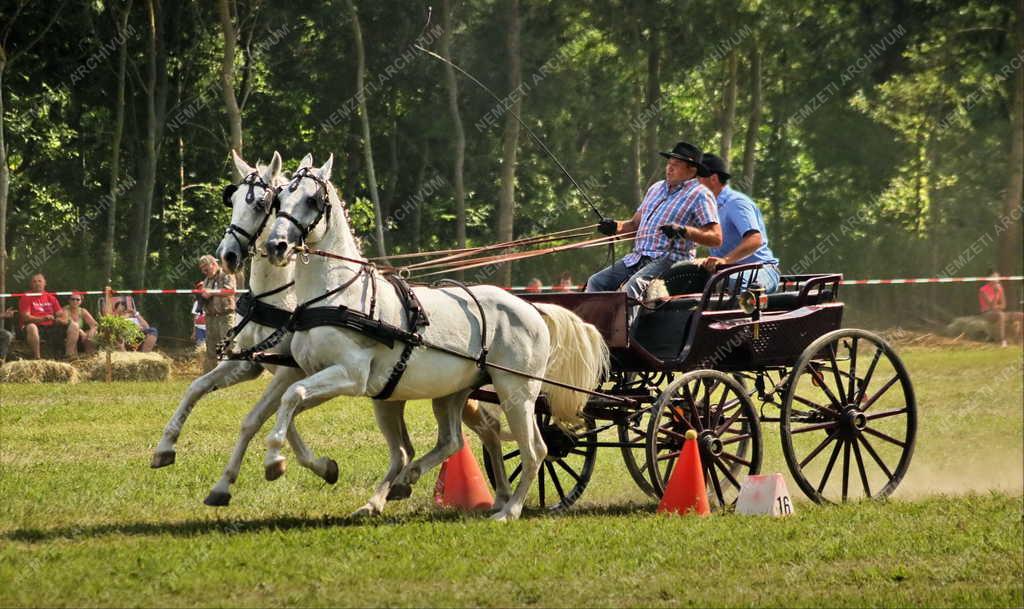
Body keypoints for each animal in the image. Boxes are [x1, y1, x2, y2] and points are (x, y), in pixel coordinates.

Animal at [150, 152, 339, 505]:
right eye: (233, 199)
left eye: (262, 203)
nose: (227, 255)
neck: (279, 297)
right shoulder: (250, 363)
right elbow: (197, 387)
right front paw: (165, 447)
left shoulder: (290, 370)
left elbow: (260, 418)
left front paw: (230, 482)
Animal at [260, 154, 606, 522]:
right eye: (279, 199)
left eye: (312, 200)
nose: (276, 245)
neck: (339, 296)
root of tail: (531, 306)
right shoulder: (318, 374)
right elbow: (287, 406)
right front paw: (313, 465)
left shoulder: (350, 376)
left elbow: (292, 396)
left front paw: (274, 460)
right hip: (448, 394)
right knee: (449, 441)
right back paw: (397, 487)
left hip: (517, 392)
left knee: (535, 450)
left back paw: (509, 510)